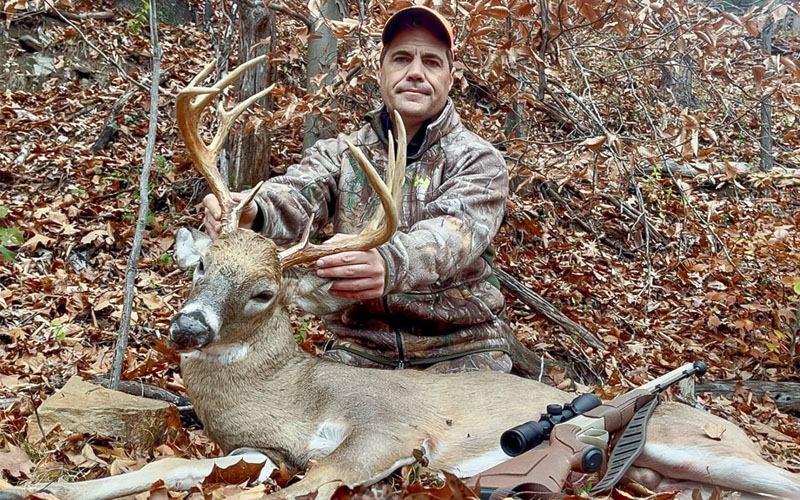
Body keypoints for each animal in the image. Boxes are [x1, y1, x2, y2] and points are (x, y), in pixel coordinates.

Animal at [2, 57, 798, 500]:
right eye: (201, 266)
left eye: (264, 293)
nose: (188, 326)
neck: (292, 401)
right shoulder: (253, 450)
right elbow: (164, 469)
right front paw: (50, 484)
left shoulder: (385, 436)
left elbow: (294, 491)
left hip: (702, 444)